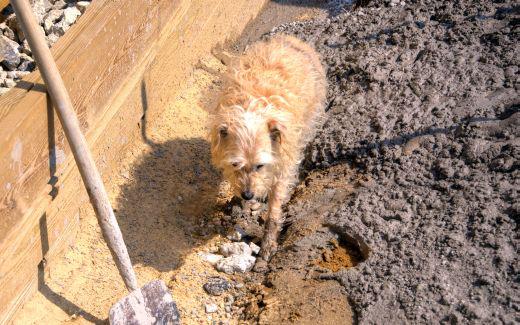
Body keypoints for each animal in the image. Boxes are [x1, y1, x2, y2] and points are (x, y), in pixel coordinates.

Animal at [207, 34, 324, 260]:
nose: (248, 195)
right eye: (235, 164)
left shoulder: (284, 164)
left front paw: (269, 242)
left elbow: (275, 207)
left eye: (260, 165)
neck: (252, 107)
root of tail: (290, 40)